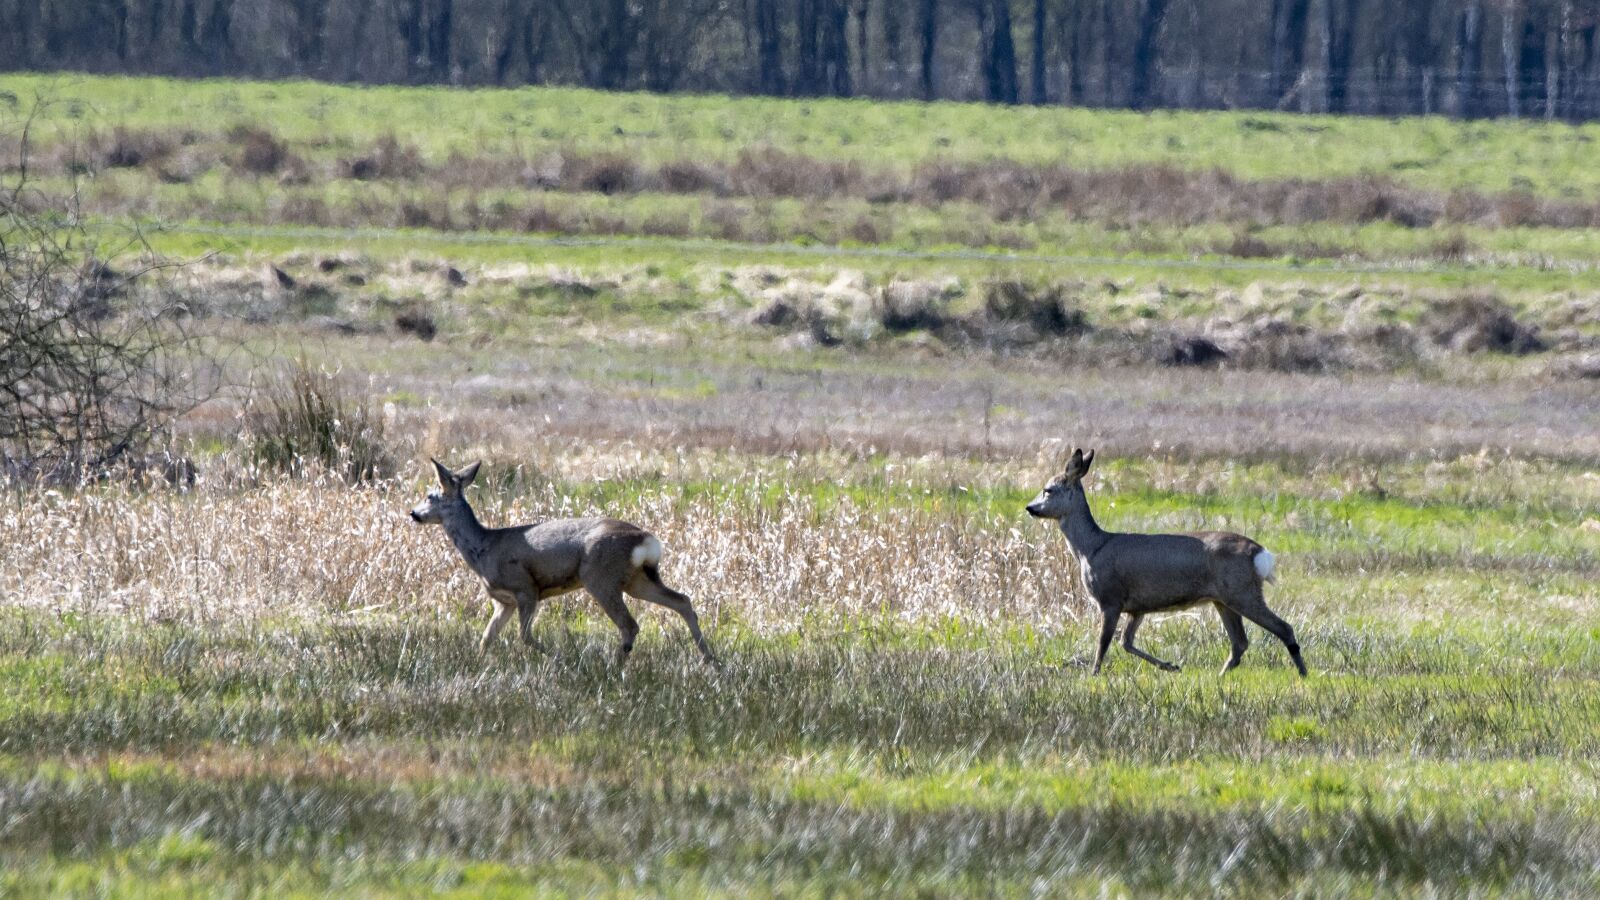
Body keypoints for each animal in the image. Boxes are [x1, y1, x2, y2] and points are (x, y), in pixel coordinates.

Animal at [409, 459, 716, 666]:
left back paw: (612, 666)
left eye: (430, 495)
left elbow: (524, 636)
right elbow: (487, 637)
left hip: (600, 577)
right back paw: (710, 659)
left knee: (630, 624)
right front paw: (479, 661)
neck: (484, 548)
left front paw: (561, 658)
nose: (413, 513)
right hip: (637, 579)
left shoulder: (526, 588)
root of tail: (646, 539)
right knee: (682, 600)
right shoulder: (504, 601)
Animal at [1026, 448, 1307, 677]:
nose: (1030, 508)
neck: (1091, 548)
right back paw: (1220, 676)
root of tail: (1260, 553)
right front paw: (1171, 666)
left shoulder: (1110, 598)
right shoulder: (1137, 607)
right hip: (1224, 599)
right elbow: (1126, 643)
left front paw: (1093, 675)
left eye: (1048, 490)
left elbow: (1103, 644)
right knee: (1239, 643)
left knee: (1283, 628)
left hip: (1242, 591)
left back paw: (1303, 674)